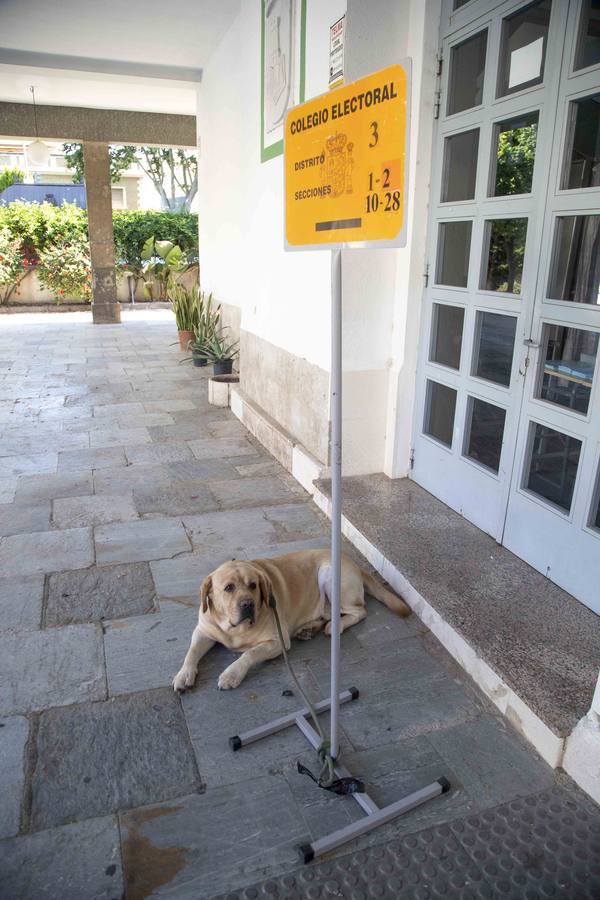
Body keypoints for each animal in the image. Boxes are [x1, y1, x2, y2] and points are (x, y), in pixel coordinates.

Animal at [171, 544, 410, 692]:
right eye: (229, 588)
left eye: (253, 585)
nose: (248, 604)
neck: (233, 629)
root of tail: (353, 563)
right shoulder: (203, 631)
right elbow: (192, 652)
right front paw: (184, 674)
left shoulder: (278, 641)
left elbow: (250, 653)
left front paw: (232, 673)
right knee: (328, 612)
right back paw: (308, 629)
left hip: (329, 574)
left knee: (359, 611)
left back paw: (336, 625)